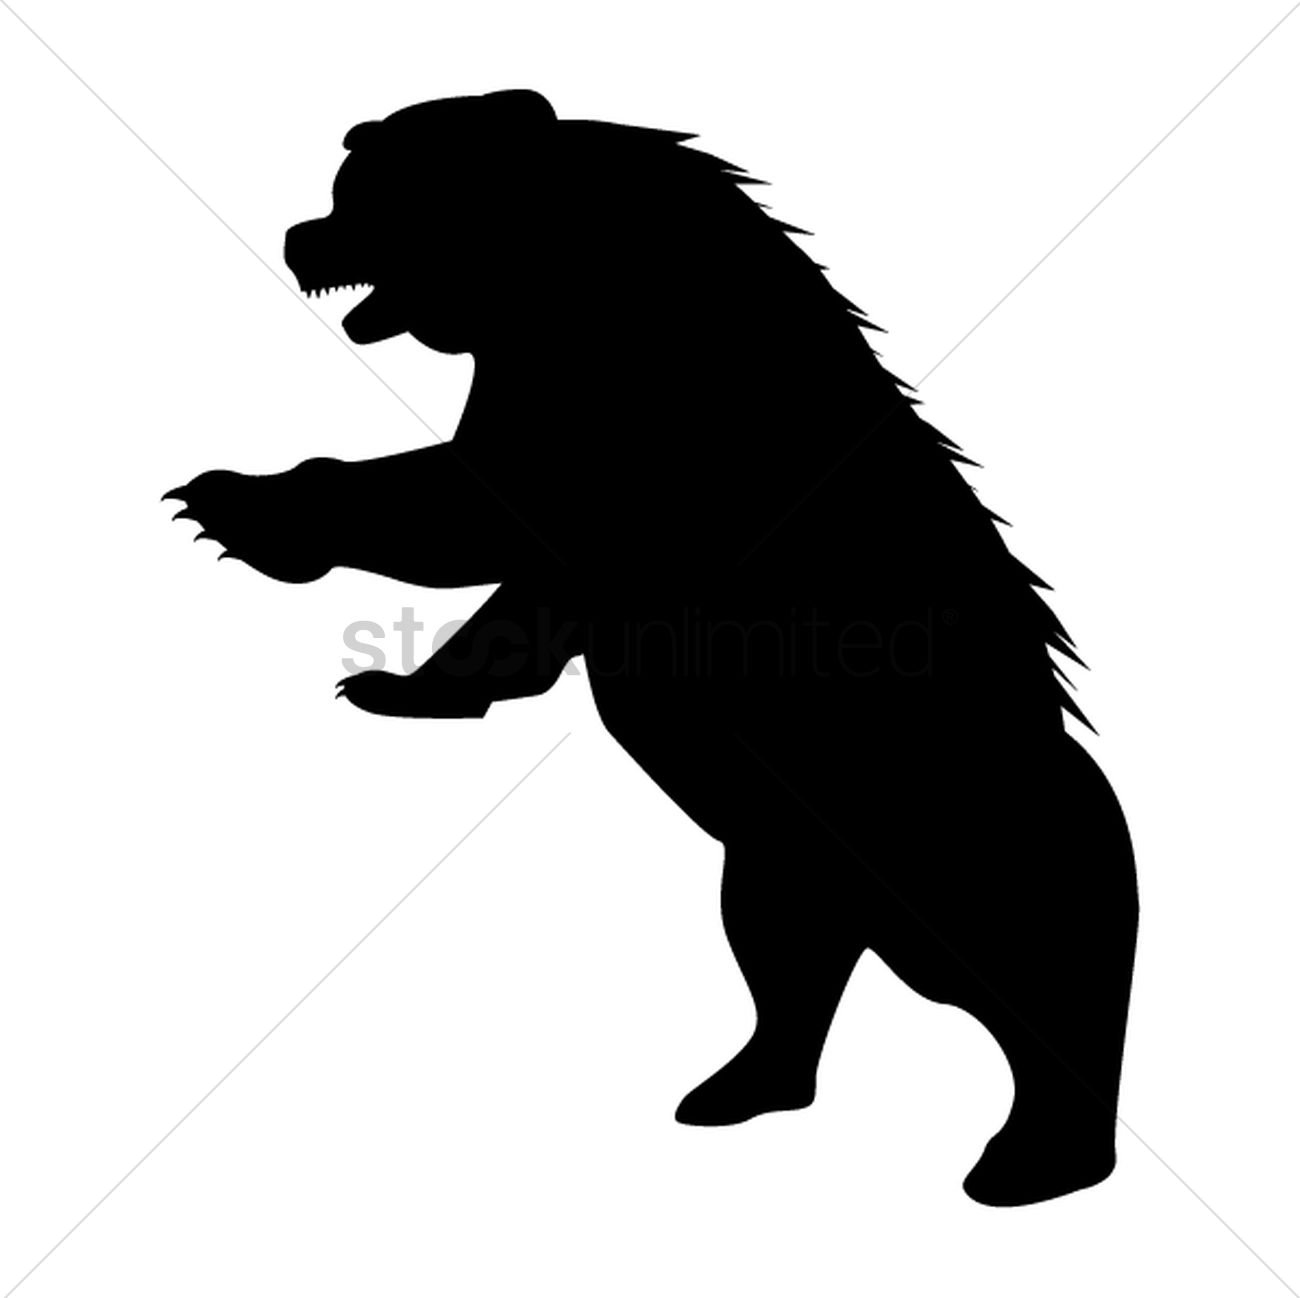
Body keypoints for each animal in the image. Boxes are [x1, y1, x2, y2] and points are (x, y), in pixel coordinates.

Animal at [166, 89, 1138, 1207]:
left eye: (370, 191)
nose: (299, 235)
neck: (563, 278)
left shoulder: (620, 428)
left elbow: (460, 505)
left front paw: (235, 504)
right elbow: (519, 600)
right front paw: (400, 684)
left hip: (981, 844)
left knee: (1048, 988)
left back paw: (1031, 1160)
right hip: (778, 854)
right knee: (786, 962)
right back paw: (737, 1087)